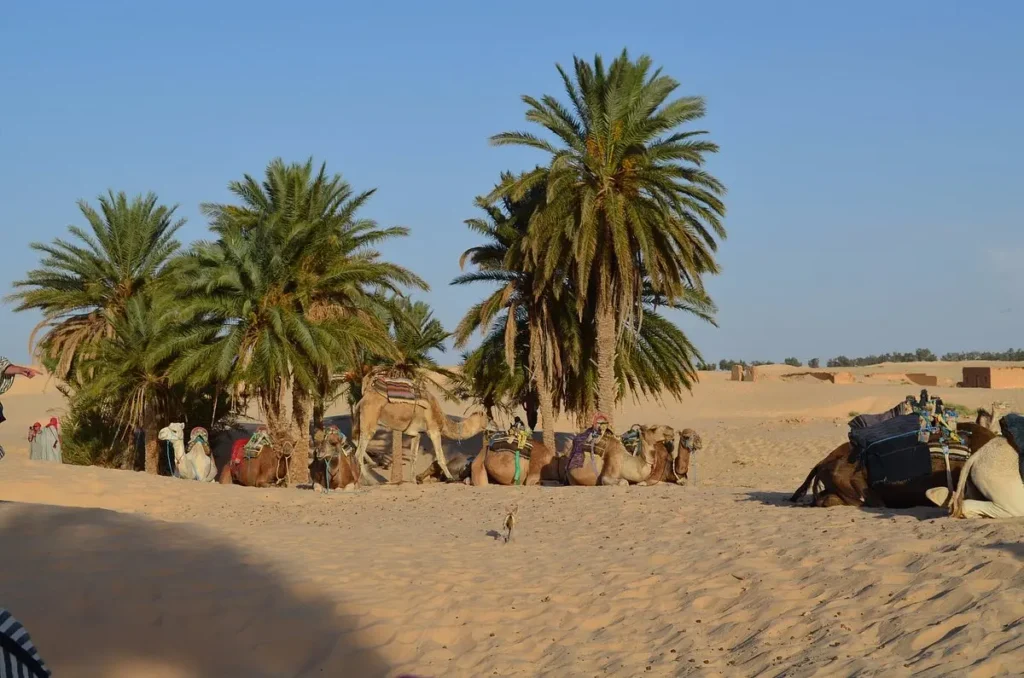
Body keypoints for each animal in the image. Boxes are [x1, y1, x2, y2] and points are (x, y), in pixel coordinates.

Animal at [352, 375, 490, 482]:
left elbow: (414, 457)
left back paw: (371, 466)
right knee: (359, 451)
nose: (493, 425)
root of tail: (364, 397)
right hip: (370, 417)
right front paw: (451, 478)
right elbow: (440, 457)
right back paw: (369, 478)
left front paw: (413, 480)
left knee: (355, 440)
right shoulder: (433, 431)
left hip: (359, 418)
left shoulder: (416, 433)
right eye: (488, 418)